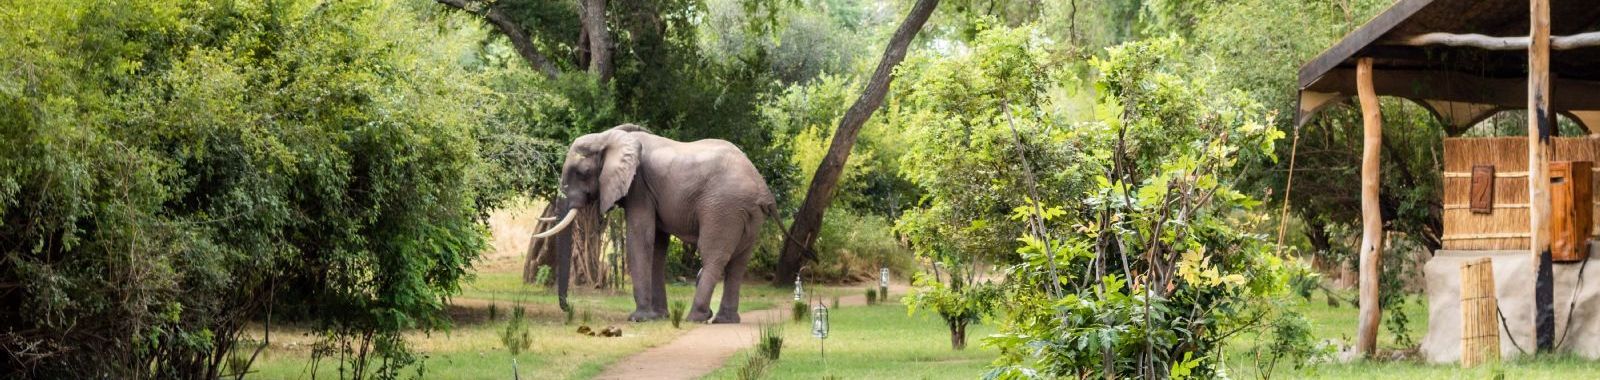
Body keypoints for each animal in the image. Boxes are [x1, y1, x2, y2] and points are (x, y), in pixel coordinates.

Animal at [534, 122, 777, 324]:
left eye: (582, 172)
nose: (568, 308)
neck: (608, 137)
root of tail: (763, 190)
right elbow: (658, 246)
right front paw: (659, 316)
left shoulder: (639, 186)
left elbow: (641, 238)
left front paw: (639, 318)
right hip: (748, 215)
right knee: (739, 262)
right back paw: (724, 320)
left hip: (723, 208)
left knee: (713, 256)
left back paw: (695, 318)